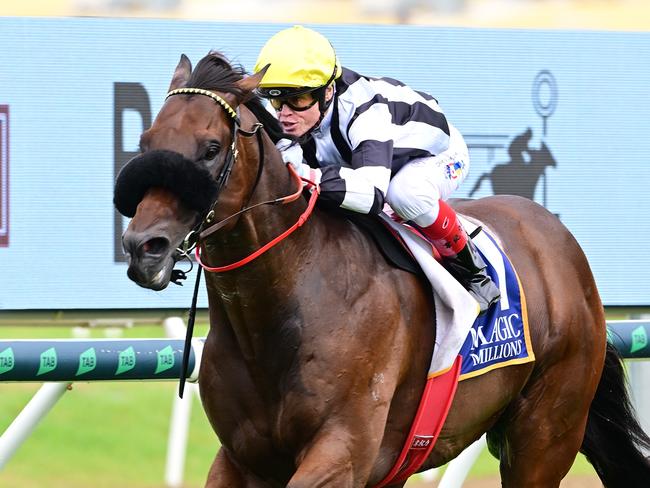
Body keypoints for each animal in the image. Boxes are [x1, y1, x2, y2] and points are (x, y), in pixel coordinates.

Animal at [112, 51, 648, 486]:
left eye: (209, 148)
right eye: (145, 141)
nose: (143, 248)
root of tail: (560, 243)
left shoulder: (343, 452)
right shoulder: (244, 459)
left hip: (544, 434)